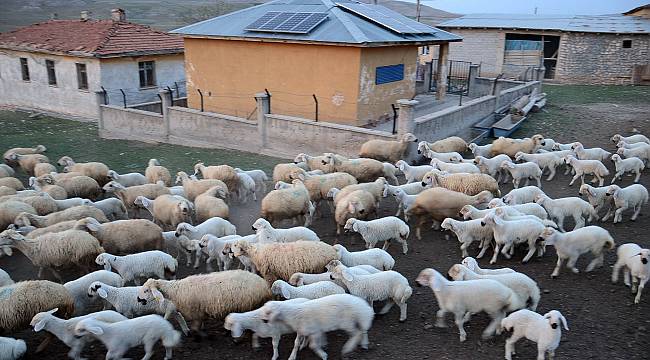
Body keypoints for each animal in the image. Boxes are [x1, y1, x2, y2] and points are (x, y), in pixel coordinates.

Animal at [138, 270, 270, 334]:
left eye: (146, 290)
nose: (138, 299)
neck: (176, 291)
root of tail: (264, 285)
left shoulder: (195, 311)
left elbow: (196, 326)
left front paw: (197, 333)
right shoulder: (200, 311)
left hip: (248, 304)